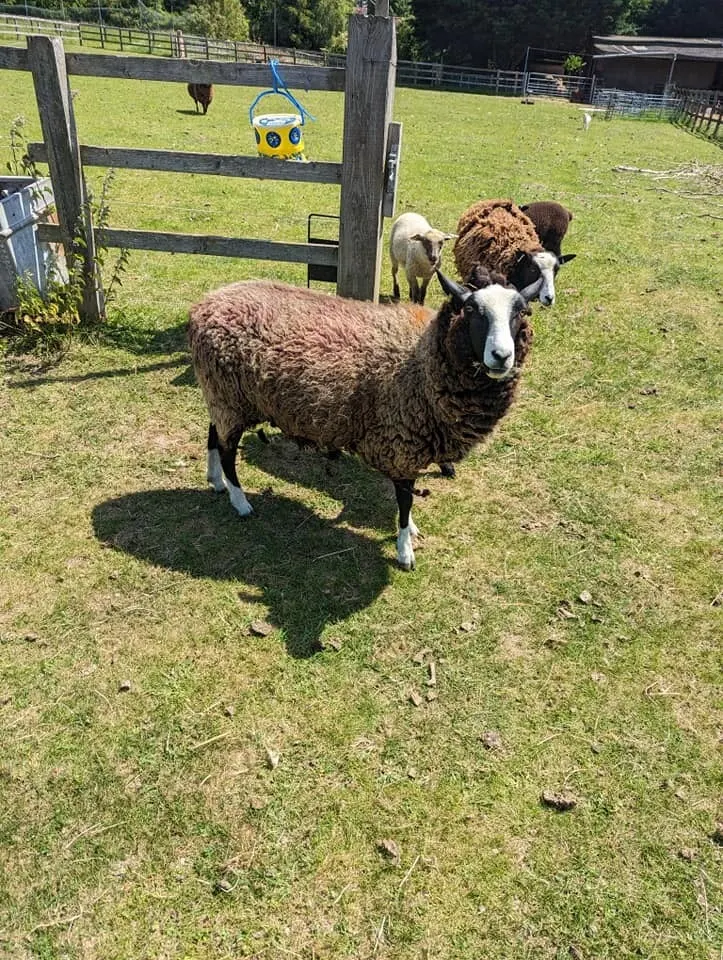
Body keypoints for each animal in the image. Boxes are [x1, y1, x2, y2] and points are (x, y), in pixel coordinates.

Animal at [188, 270, 532, 571]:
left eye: (520, 312)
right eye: (472, 309)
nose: (502, 356)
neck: (421, 360)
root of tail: (202, 306)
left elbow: (405, 500)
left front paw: (410, 532)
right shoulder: (402, 442)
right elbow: (404, 502)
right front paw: (405, 550)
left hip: (222, 393)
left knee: (214, 435)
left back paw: (216, 481)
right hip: (228, 396)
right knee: (228, 451)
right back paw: (240, 501)